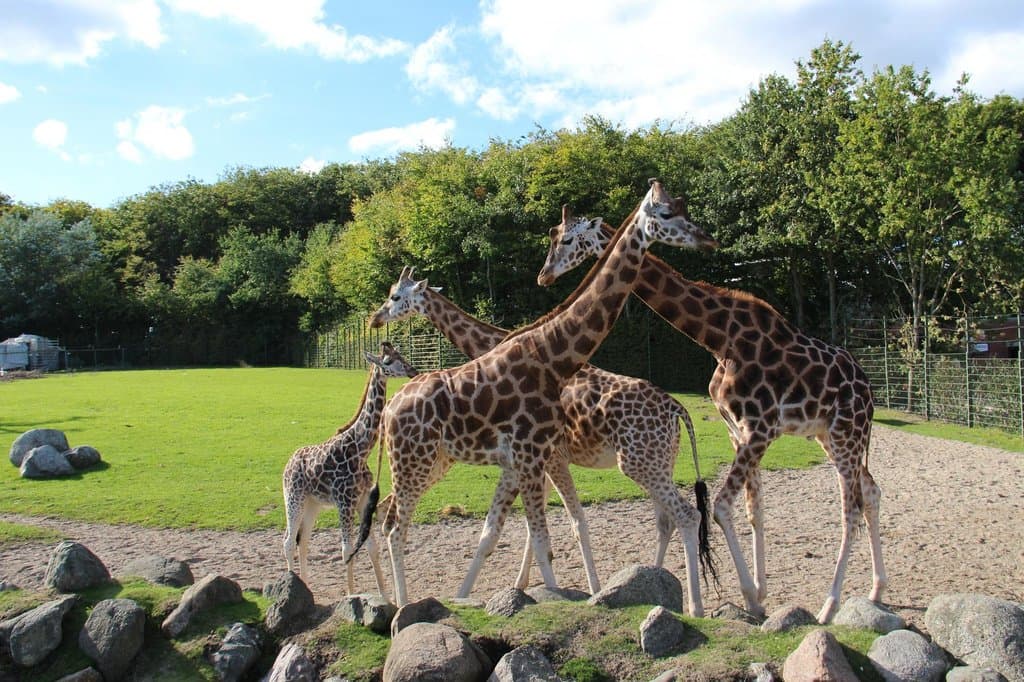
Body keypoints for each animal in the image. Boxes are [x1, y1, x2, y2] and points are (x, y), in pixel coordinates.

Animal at [281, 341, 417, 597]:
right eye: (388, 361)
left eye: (401, 354)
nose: (413, 370)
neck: (360, 449)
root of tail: (288, 463)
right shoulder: (344, 501)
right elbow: (346, 549)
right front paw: (352, 595)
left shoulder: (362, 500)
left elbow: (371, 547)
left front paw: (385, 596)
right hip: (294, 498)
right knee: (288, 541)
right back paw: (291, 585)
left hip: (312, 504)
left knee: (303, 541)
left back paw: (305, 586)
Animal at [354, 180, 717, 608]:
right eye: (665, 212)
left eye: (395, 295)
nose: (375, 318)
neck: (550, 355)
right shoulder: (531, 458)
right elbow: (534, 537)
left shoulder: (532, 459)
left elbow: (530, 534)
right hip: (418, 463)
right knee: (393, 525)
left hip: (640, 461)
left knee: (681, 515)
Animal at [536, 212, 885, 623]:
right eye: (553, 237)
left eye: (567, 240)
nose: (544, 275)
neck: (720, 339)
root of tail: (869, 389)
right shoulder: (738, 430)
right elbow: (753, 510)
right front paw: (759, 593)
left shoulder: (760, 428)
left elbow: (719, 506)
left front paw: (750, 595)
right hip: (830, 436)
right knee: (871, 492)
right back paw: (877, 590)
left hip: (847, 432)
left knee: (851, 510)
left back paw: (829, 607)